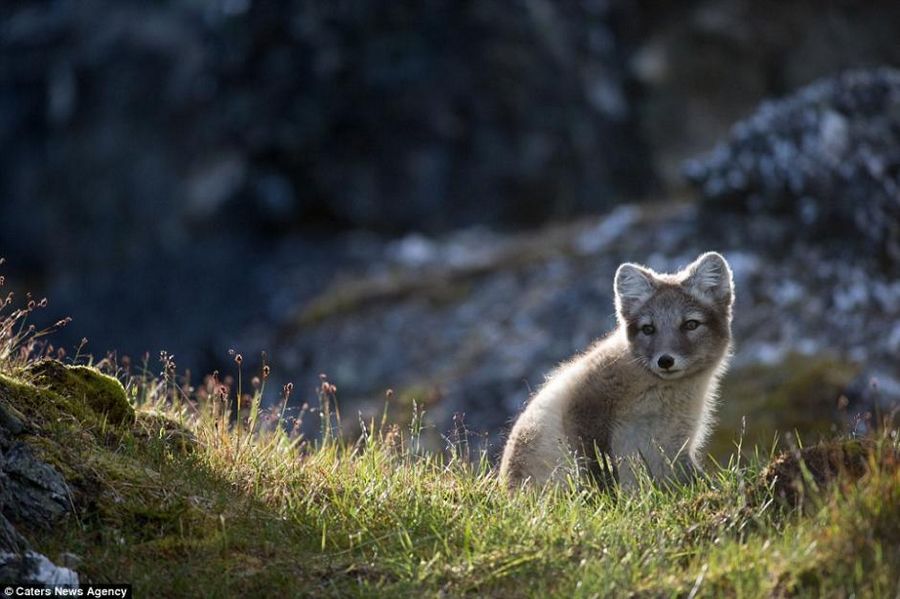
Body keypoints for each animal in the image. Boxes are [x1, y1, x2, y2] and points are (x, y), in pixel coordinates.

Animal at [496, 251, 736, 490]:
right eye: (648, 329)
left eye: (690, 324)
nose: (665, 361)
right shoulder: (583, 407)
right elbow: (599, 468)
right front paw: (607, 495)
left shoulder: (674, 447)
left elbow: (693, 478)